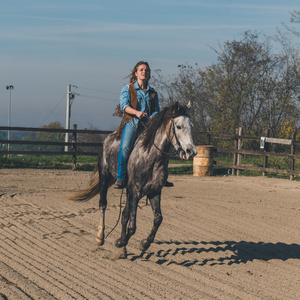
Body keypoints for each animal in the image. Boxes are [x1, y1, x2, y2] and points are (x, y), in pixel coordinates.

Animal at [69, 102, 198, 258]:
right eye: (179, 126)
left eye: (191, 126)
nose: (191, 151)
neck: (151, 158)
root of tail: (108, 138)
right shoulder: (135, 192)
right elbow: (132, 226)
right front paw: (120, 241)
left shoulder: (154, 192)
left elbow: (157, 219)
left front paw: (143, 243)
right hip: (105, 178)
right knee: (103, 204)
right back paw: (100, 237)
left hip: (128, 191)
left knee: (124, 214)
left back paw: (123, 251)